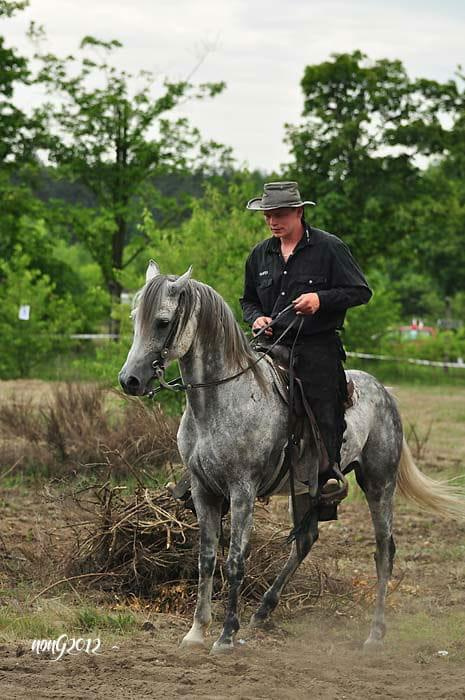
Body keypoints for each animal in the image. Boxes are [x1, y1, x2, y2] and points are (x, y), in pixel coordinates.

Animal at [118, 262, 464, 652]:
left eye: (163, 321)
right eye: (134, 317)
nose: (129, 380)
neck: (224, 398)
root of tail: (384, 392)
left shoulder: (242, 491)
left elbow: (235, 561)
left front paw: (226, 634)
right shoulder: (204, 490)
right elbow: (206, 559)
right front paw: (196, 631)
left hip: (379, 484)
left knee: (383, 551)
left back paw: (375, 634)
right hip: (307, 488)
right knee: (306, 538)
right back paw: (263, 610)